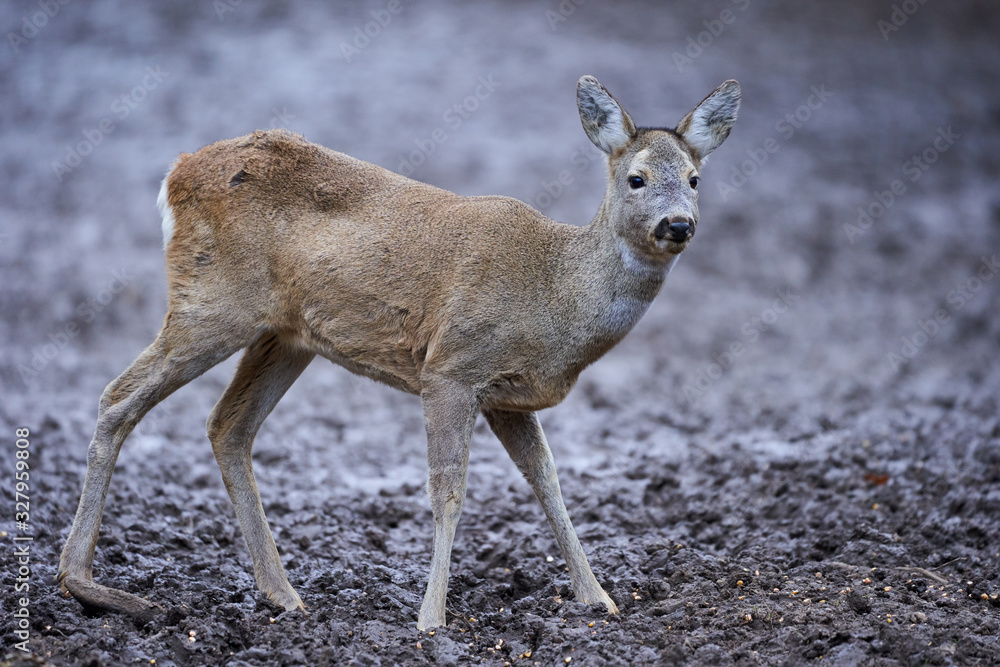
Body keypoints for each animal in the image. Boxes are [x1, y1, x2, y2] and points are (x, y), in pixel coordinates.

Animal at [57, 75, 740, 629]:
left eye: (696, 179)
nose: (678, 225)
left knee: (228, 425)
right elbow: (449, 491)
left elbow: (548, 481)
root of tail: (175, 173)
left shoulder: (508, 398)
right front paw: (431, 618)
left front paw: (599, 599)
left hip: (285, 335)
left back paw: (284, 596)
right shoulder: (452, 365)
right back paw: (90, 587)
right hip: (212, 302)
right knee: (118, 396)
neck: (554, 297)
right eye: (636, 178)